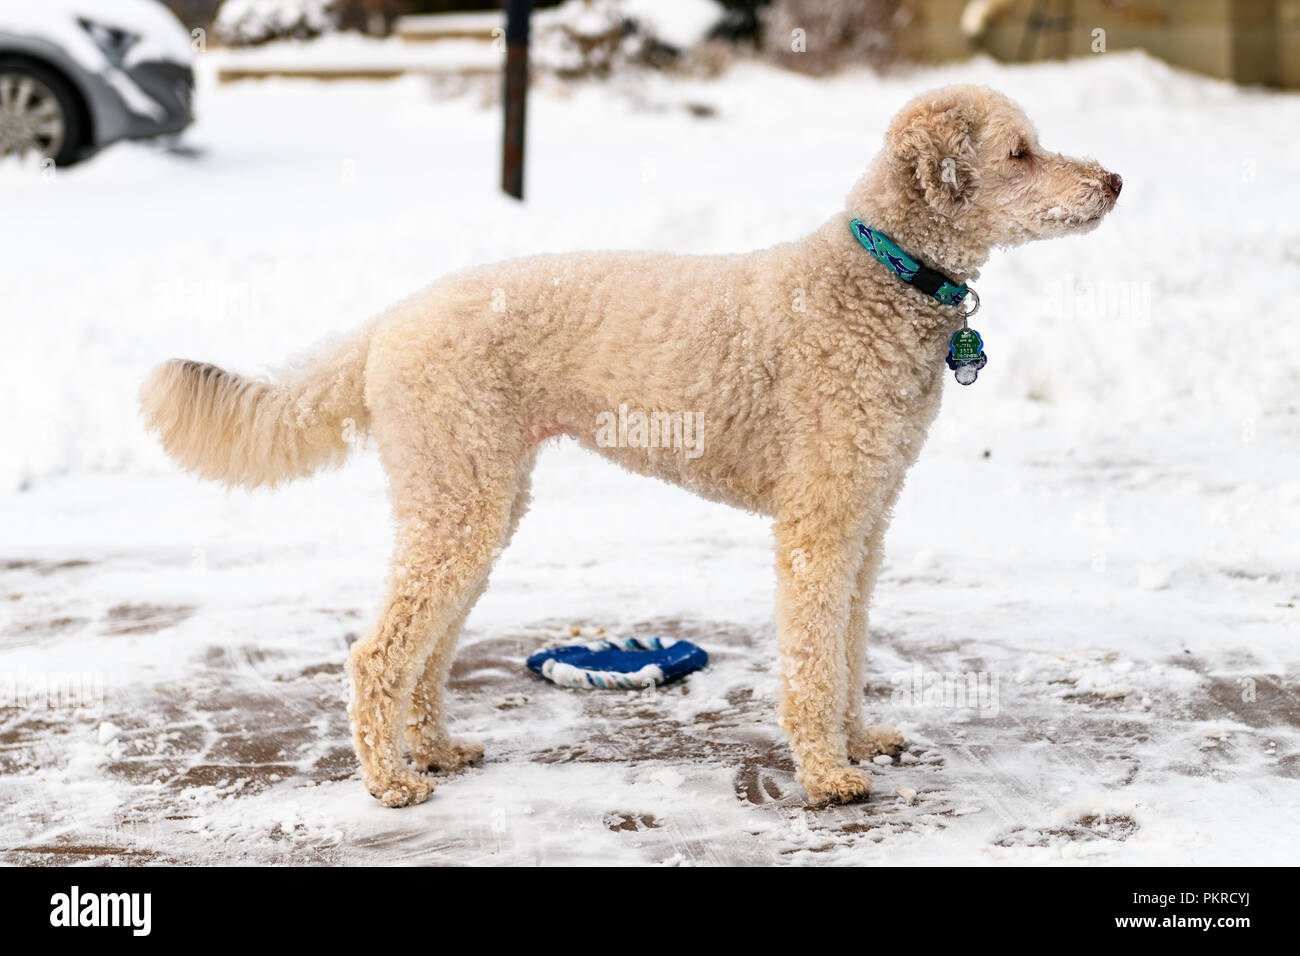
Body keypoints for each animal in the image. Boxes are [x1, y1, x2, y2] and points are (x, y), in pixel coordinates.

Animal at [139, 83, 1118, 806]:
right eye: (1020, 153)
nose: (1113, 181)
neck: (879, 277)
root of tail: (388, 324)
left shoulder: (864, 525)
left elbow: (846, 651)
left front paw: (860, 740)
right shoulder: (817, 529)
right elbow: (811, 658)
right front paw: (828, 775)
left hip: (476, 503)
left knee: (425, 650)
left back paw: (436, 751)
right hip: (457, 499)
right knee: (377, 655)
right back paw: (388, 782)